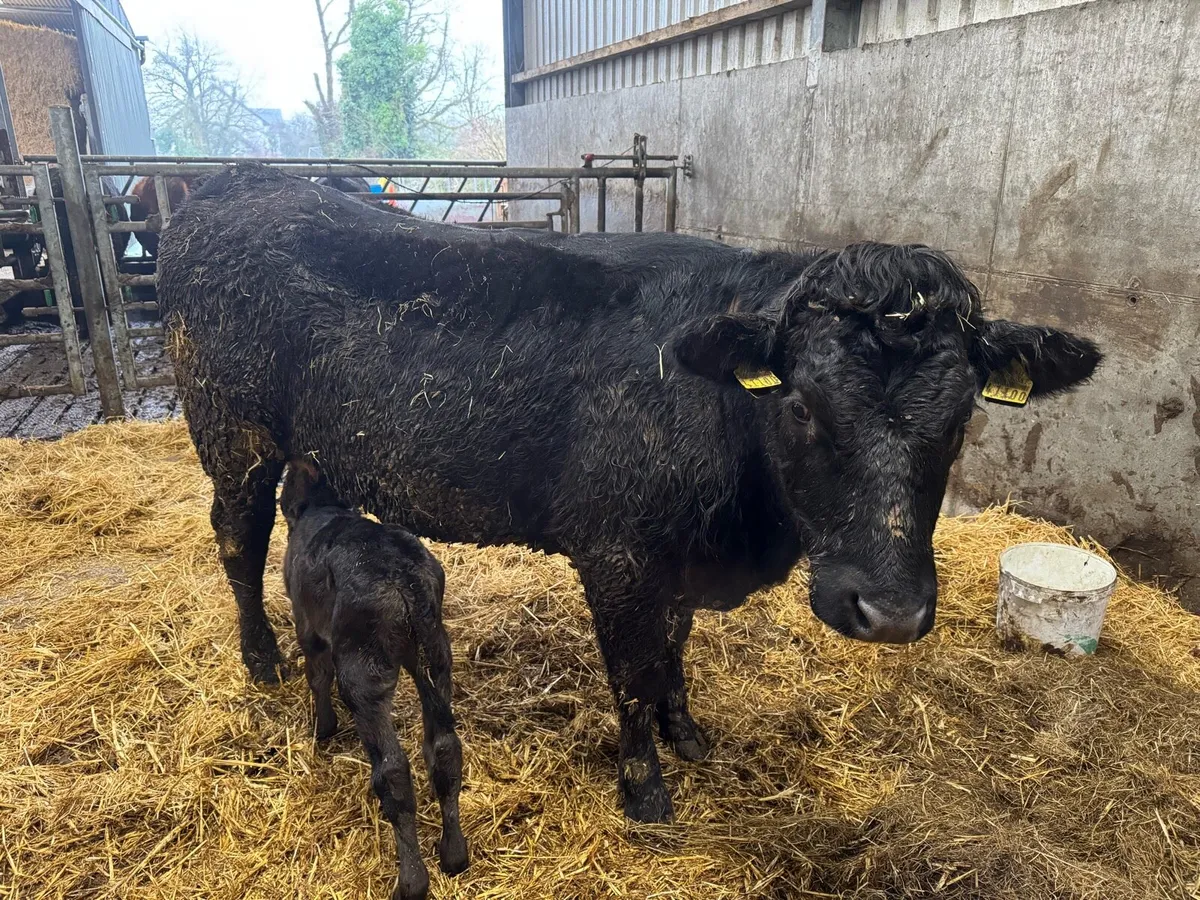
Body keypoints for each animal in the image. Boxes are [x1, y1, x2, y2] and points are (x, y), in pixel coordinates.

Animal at [156, 164, 1101, 824]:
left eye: (963, 417)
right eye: (800, 403)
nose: (893, 613)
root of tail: (236, 182)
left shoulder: (676, 559)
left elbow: (674, 653)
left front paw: (690, 736)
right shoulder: (617, 554)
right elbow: (633, 674)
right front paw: (645, 788)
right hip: (231, 433)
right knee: (236, 538)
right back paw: (262, 660)